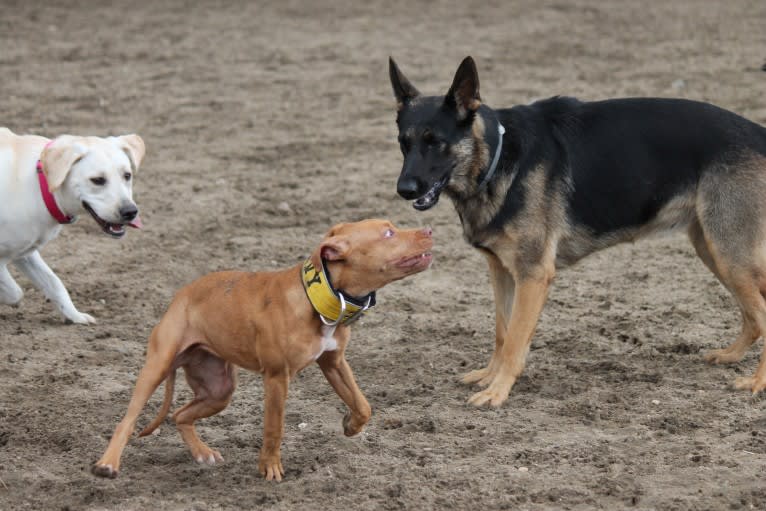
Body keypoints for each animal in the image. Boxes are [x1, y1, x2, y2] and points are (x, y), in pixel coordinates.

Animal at [388, 56, 766, 408]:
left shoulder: (533, 275)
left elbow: (514, 340)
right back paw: (729, 355)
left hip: (729, 256)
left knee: (761, 312)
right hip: (715, 251)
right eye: (403, 143)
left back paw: (757, 382)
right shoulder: (501, 272)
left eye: (435, 142)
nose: (403, 189)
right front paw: (489, 376)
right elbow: (501, 331)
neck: (498, 158)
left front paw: (498, 390)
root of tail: (759, 132)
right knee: (754, 316)